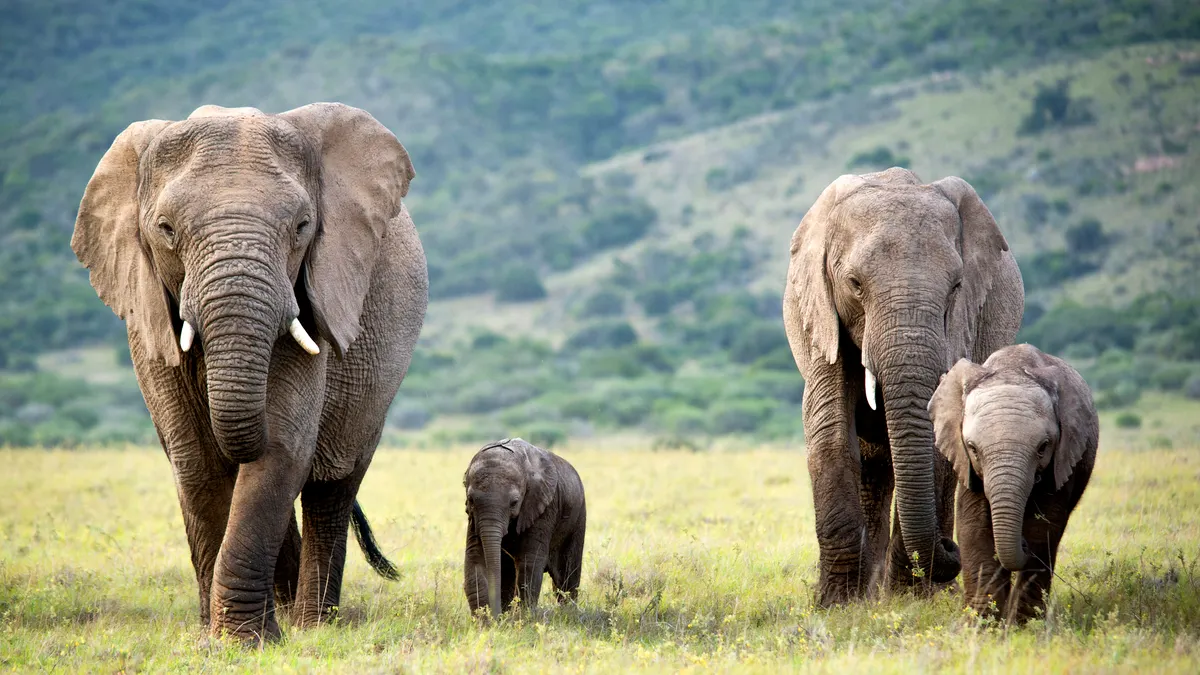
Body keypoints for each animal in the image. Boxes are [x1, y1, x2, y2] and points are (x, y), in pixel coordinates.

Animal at [71, 103, 428, 642]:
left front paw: (246, 640)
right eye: (165, 229)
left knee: (331, 486)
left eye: (302, 226)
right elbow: (197, 458)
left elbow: (281, 446)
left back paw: (311, 625)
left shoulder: (314, 295)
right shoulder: (147, 312)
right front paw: (215, 638)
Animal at [462, 439, 586, 619]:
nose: (497, 616)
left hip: (578, 517)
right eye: (471, 500)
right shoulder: (473, 518)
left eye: (514, 502)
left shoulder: (543, 506)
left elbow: (530, 560)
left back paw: (569, 613)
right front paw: (486, 622)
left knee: (567, 575)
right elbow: (475, 557)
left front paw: (521, 620)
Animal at [782, 167, 1024, 606]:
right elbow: (830, 433)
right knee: (873, 463)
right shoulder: (820, 316)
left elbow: (940, 441)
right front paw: (835, 605)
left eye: (957, 286)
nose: (951, 548)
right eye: (854, 283)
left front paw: (907, 601)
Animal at [929, 343, 1097, 622]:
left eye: (1043, 447)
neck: (1012, 369)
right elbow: (974, 526)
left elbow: (1043, 528)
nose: (1022, 543)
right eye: (972, 448)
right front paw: (984, 623)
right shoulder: (967, 467)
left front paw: (1024, 624)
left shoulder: (1062, 460)